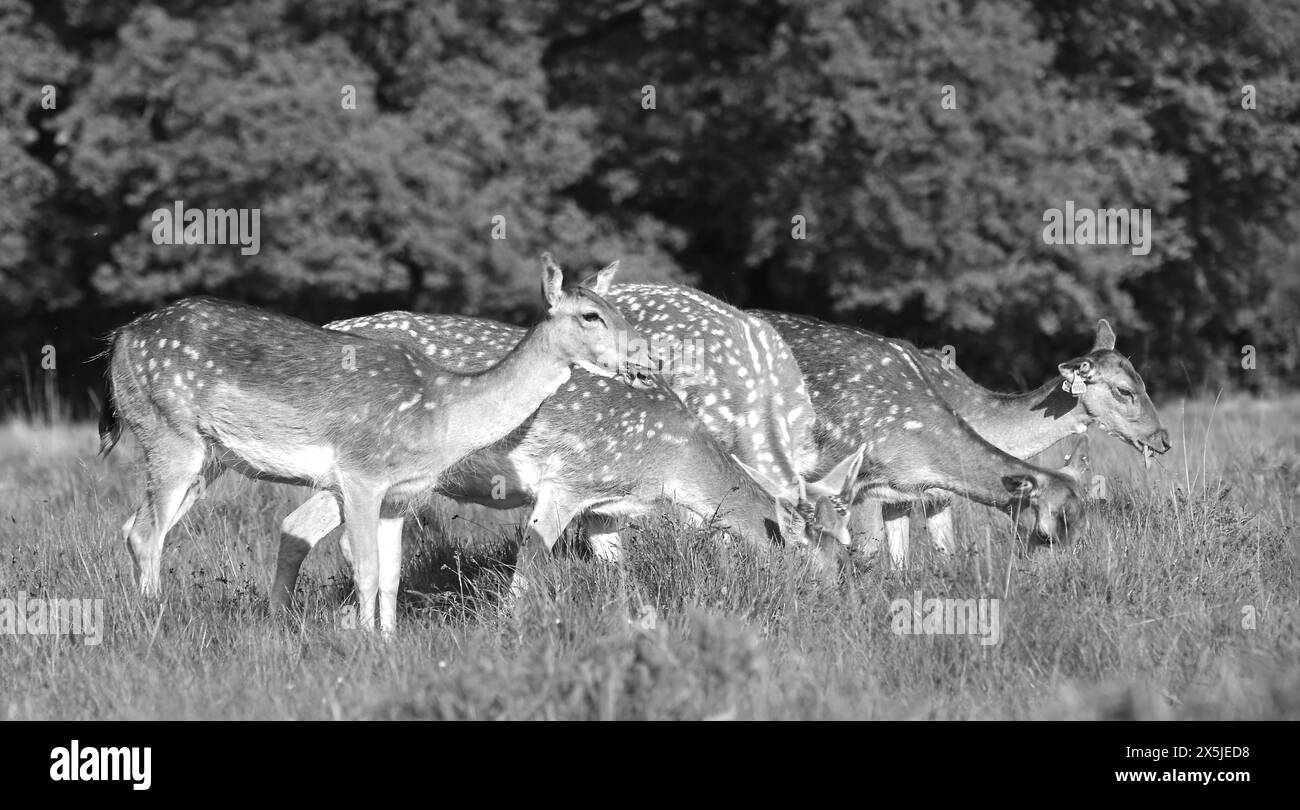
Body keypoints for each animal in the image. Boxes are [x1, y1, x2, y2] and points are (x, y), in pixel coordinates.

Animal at [97, 254, 653, 633]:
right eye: (590, 316)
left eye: (615, 307)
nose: (645, 352)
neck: (443, 413)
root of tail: (119, 338)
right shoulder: (360, 474)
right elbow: (364, 567)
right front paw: (363, 643)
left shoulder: (400, 496)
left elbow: (391, 574)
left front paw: (388, 641)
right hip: (168, 431)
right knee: (145, 532)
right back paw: (155, 618)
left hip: (207, 457)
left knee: (131, 525)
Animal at [272, 312, 866, 608]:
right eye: (814, 558)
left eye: (848, 547)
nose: (840, 605)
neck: (669, 465)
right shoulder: (569, 482)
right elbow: (526, 577)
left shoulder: (605, 510)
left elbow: (621, 577)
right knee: (309, 528)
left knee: (293, 526)